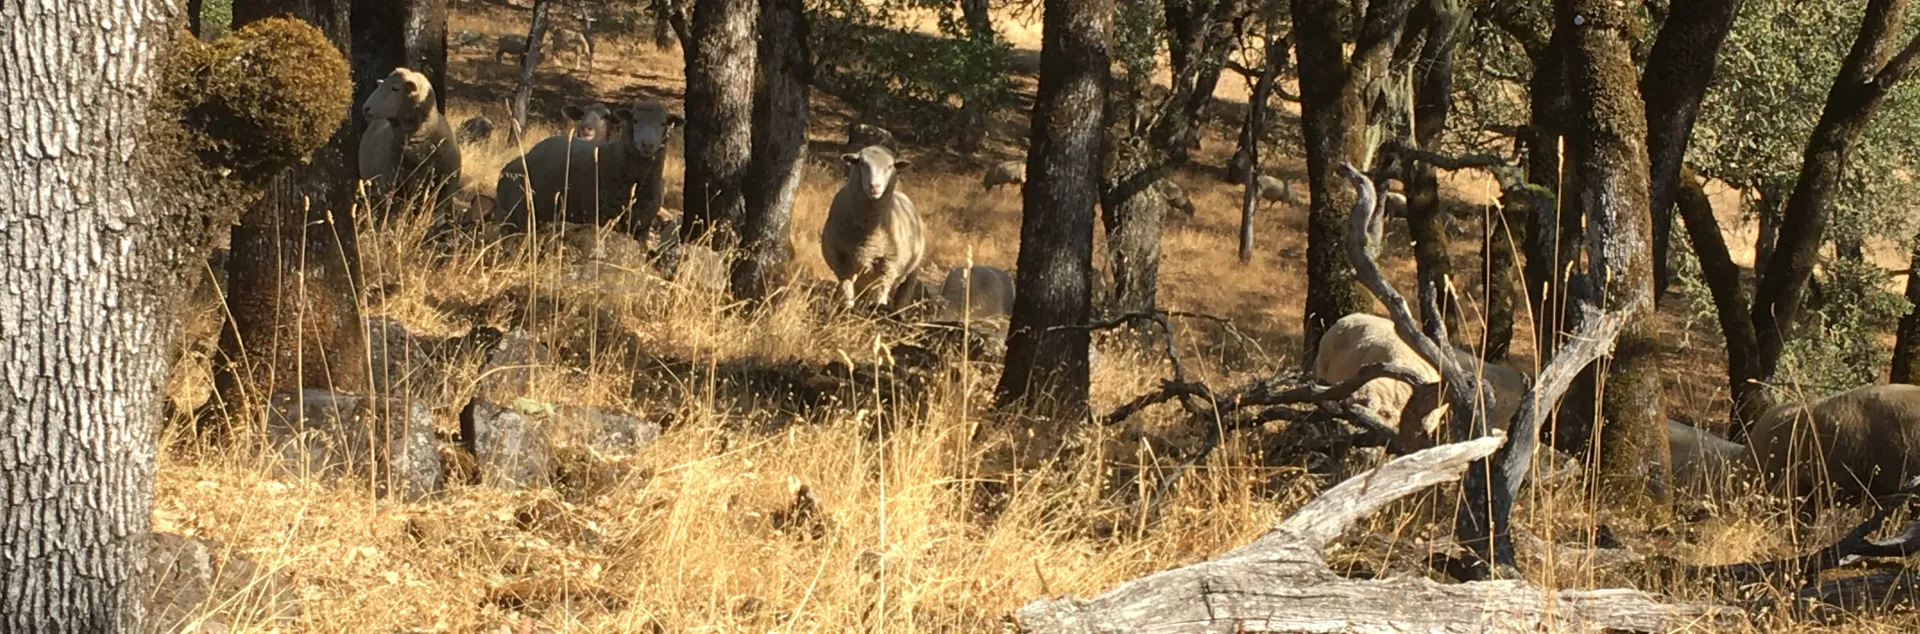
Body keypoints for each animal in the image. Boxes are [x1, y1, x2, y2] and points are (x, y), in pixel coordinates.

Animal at [495, 101, 683, 240]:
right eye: (635, 120)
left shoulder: (641, 227)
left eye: (663, 123)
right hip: (517, 217)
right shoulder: (601, 221)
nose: (648, 145)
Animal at [821, 145, 926, 309]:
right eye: (862, 163)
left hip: (911, 269)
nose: (874, 187)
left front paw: (876, 308)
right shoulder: (838, 257)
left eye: (890, 166)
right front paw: (846, 307)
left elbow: (880, 292)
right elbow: (846, 288)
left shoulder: (889, 264)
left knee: (901, 294)